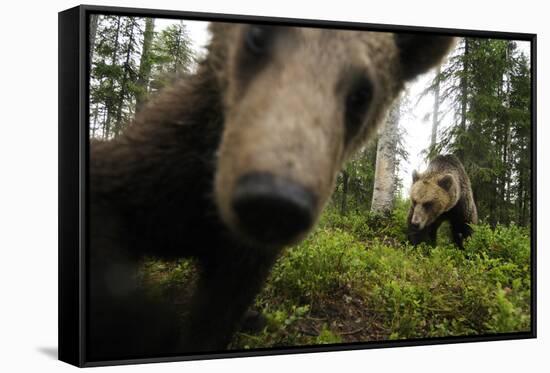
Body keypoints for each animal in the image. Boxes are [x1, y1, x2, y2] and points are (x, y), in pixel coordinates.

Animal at [87, 21, 458, 358]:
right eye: (257, 37)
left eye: (362, 93)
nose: (273, 201)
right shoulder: (157, 170)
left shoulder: (243, 258)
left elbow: (217, 314)